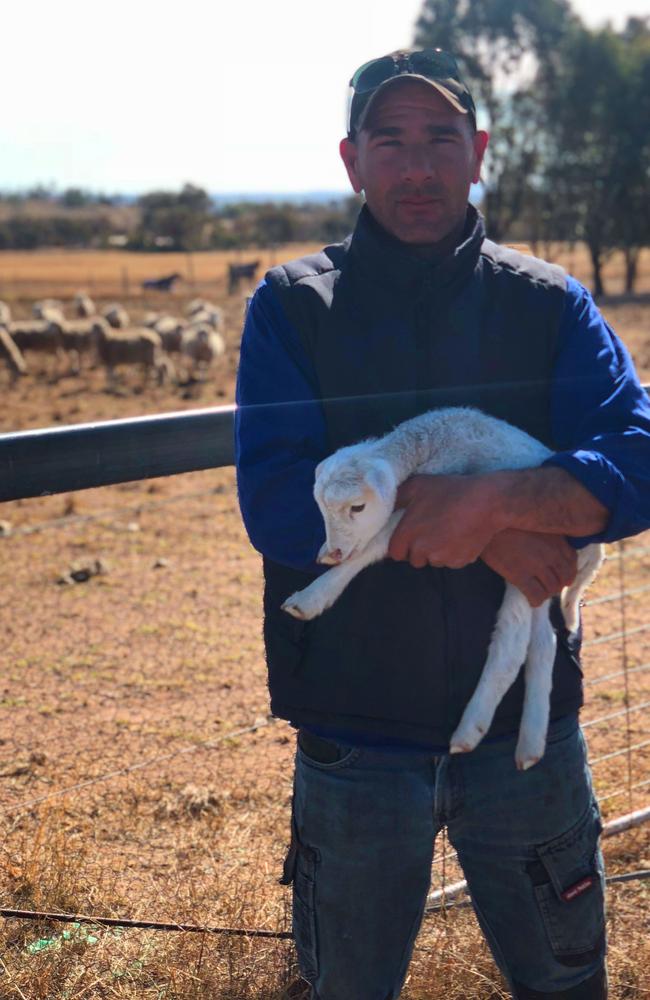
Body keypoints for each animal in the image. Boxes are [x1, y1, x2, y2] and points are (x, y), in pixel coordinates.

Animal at [282, 406, 604, 772]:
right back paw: (530, 743)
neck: (427, 443)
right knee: (543, 644)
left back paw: (469, 731)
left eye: (358, 507)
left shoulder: (424, 504)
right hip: (535, 582)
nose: (335, 551)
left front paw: (310, 598)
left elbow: (373, 545)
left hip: (530, 565)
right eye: (320, 506)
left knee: (510, 646)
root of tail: (594, 551)